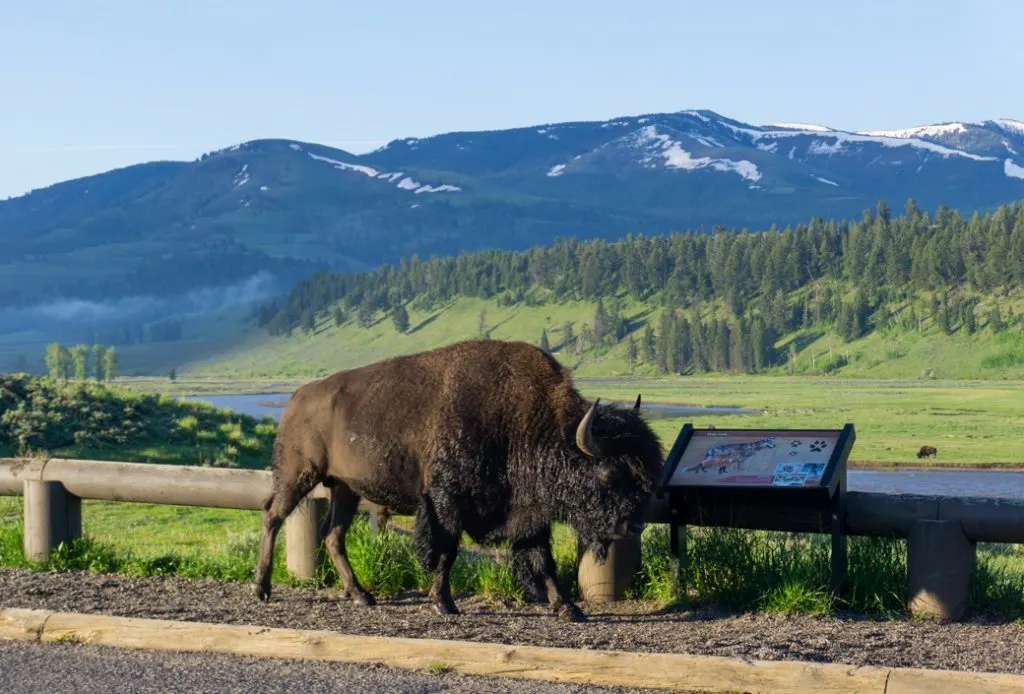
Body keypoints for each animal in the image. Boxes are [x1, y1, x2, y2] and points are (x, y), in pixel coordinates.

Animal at [253, 339, 663, 622]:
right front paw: (444, 603)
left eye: (648, 473)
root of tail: (297, 398)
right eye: (609, 472)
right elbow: (446, 550)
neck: (528, 424)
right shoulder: (446, 501)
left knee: (333, 536)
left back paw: (361, 595)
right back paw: (262, 588)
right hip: (298, 475)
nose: (633, 524)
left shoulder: (530, 513)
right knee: (273, 516)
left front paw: (567, 608)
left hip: (345, 488)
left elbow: (542, 561)